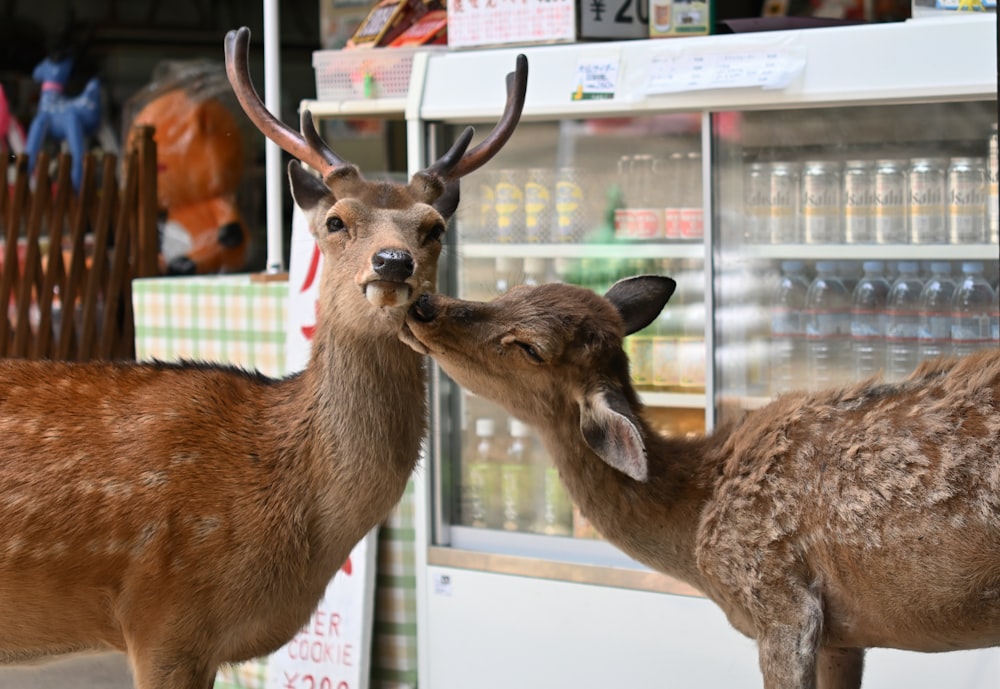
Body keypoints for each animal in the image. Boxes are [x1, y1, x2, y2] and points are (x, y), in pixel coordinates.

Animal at [400, 276, 1000, 688]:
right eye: (515, 289)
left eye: (530, 347)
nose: (421, 304)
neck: (695, 522)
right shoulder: (844, 634)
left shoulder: (780, 600)